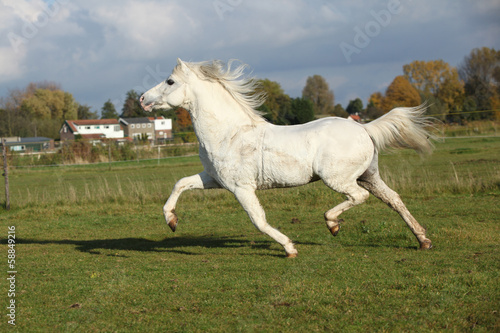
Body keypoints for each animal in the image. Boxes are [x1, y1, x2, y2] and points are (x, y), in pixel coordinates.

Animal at [141, 59, 434, 256]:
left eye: (170, 81)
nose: (143, 98)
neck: (229, 133)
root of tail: (364, 128)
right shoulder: (214, 179)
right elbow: (180, 183)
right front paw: (171, 221)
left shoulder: (241, 188)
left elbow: (258, 220)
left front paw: (289, 248)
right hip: (368, 176)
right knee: (394, 199)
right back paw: (423, 240)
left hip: (340, 179)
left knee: (358, 197)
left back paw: (332, 224)